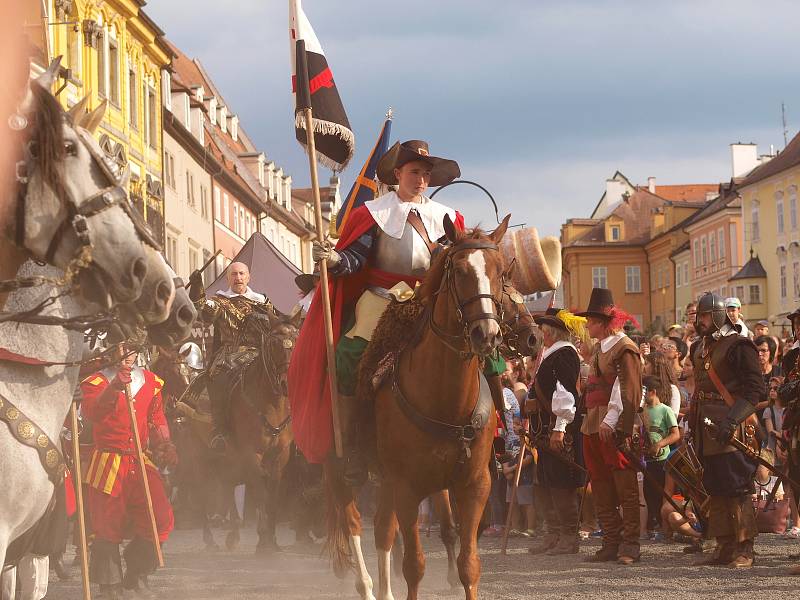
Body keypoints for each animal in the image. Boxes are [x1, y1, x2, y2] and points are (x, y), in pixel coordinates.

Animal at [326, 216, 510, 600]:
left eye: (501, 271)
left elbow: (469, 565)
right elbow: (414, 565)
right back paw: (366, 587)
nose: (487, 334)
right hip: (339, 466)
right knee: (354, 522)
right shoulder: (408, 487)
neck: (445, 401)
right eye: (459, 270)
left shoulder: (474, 485)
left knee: (383, 530)